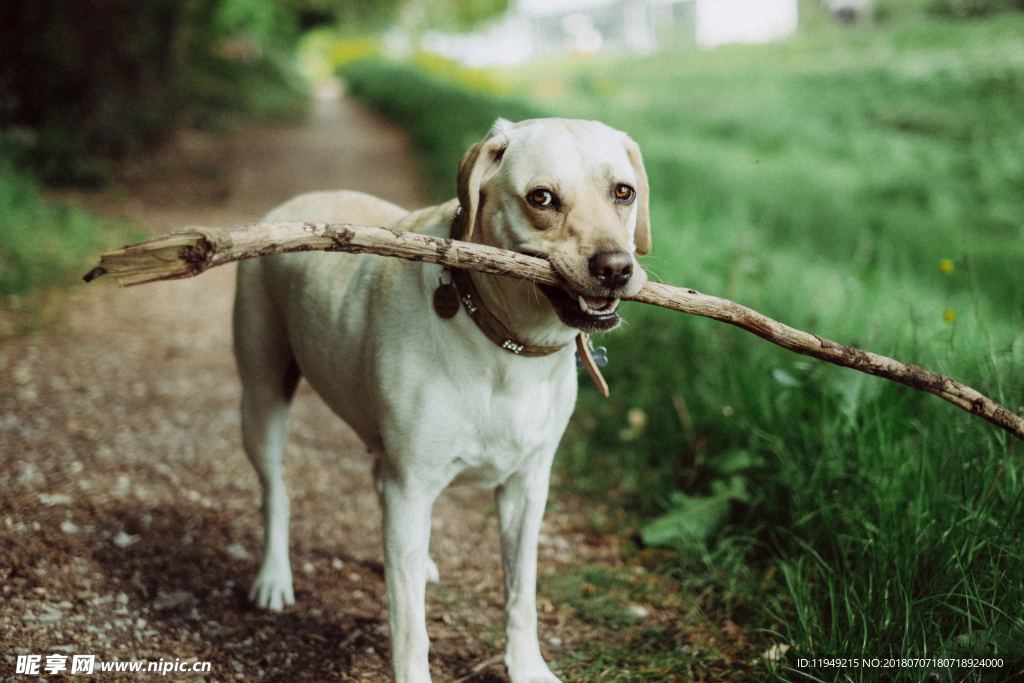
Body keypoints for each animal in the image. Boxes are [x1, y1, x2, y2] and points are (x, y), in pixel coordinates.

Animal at [232, 117, 647, 683]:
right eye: (541, 198)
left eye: (623, 192)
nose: (616, 268)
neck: (505, 344)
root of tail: (290, 204)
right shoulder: (412, 486)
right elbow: (410, 626)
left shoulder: (526, 487)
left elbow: (521, 594)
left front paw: (527, 666)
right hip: (263, 397)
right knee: (276, 491)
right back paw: (274, 578)